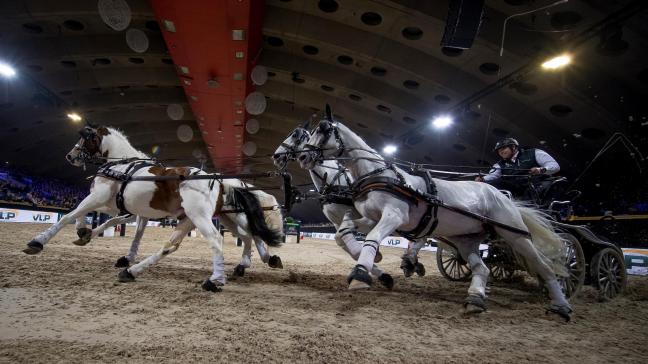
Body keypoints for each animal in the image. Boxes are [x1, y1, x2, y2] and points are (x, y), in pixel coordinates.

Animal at [24, 126, 282, 292]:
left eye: (85, 139)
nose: (70, 155)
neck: (122, 167)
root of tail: (218, 180)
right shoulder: (124, 208)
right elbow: (110, 224)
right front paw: (86, 234)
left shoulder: (99, 197)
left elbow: (69, 215)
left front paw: (38, 241)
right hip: (195, 218)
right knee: (175, 245)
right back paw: (132, 272)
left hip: (203, 216)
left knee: (223, 239)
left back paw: (216, 279)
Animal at [298, 109, 572, 320]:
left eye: (323, 129)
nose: (302, 156)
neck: (378, 176)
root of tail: (502, 195)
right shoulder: (370, 218)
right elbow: (346, 228)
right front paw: (371, 260)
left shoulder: (393, 217)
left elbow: (373, 237)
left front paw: (360, 274)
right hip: (466, 240)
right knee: (482, 268)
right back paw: (475, 299)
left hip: (514, 235)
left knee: (545, 266)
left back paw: (561, 305)